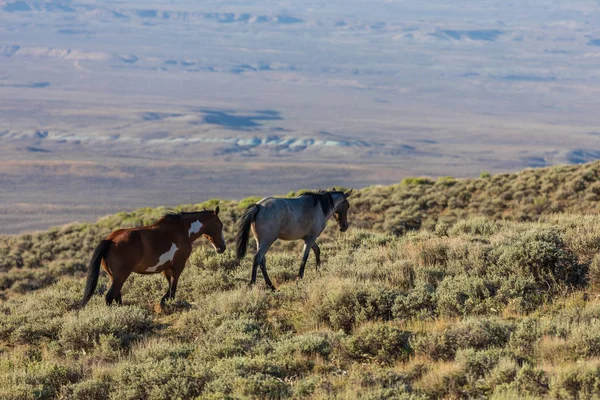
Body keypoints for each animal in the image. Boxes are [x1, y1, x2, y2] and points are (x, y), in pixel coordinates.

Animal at [81, 208, 226, 308]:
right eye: (220, 225)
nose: (222, 248)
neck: (182, 230)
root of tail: (110, 240)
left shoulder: (165, 268)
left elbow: (169, 285)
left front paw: (164, 301)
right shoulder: (178, 266)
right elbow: (173, 287)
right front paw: (168, 301)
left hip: (114, 277)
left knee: (117, 296)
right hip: (120, 276)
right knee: (109, 297)